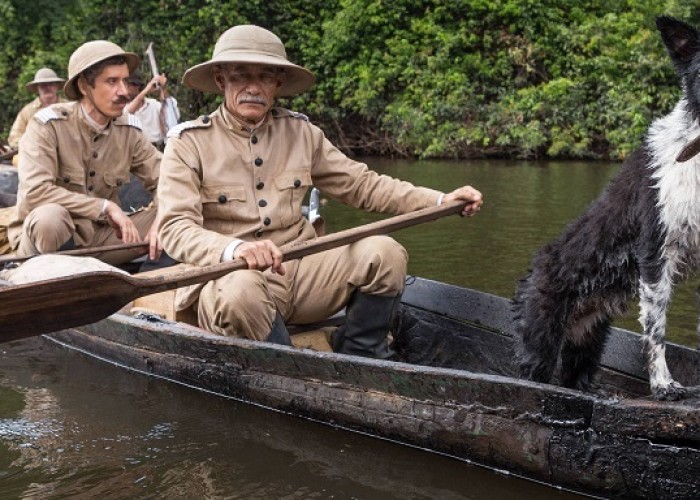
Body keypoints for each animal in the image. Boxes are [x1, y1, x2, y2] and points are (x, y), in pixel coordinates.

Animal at [512, 15, 700, 400]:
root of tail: (530, 273)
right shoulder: (657, 248)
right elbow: (656, 330)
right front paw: (664, 386)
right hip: (541, 339)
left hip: (588, 342)